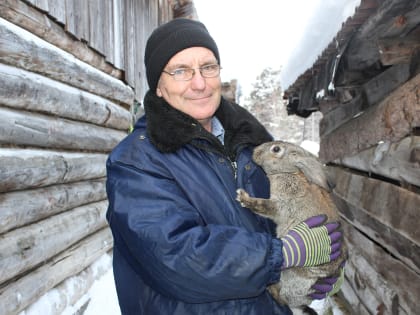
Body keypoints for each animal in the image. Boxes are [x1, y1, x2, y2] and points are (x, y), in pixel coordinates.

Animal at [236, 141, 348, 312]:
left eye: (276, 149)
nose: (255, 152)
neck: (289, 172)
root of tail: (301, 302)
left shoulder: (281, 205)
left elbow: (263, 206)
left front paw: (242, 197)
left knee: (282, 298)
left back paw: (271, 289)